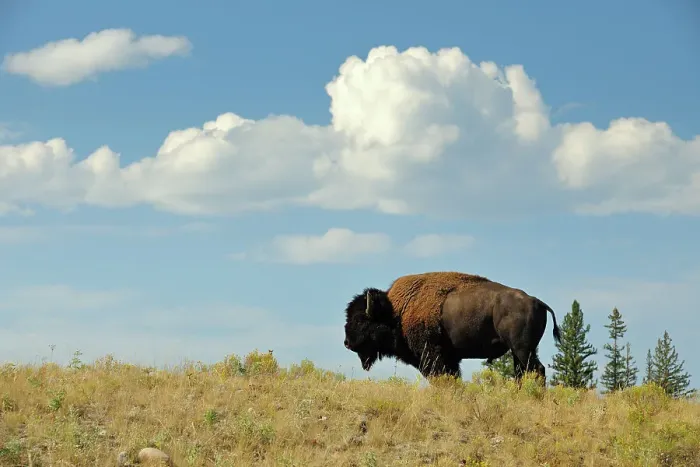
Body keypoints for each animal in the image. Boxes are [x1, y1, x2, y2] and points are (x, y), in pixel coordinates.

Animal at [342, 271, 561, 382]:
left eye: (360, 320)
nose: (346, 343)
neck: (396, 311)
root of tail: (537, 301)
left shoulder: (431, 355)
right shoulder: (450, 358)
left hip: (522, 349)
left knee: (537, 370)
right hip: (520, 351)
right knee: (522, 372)